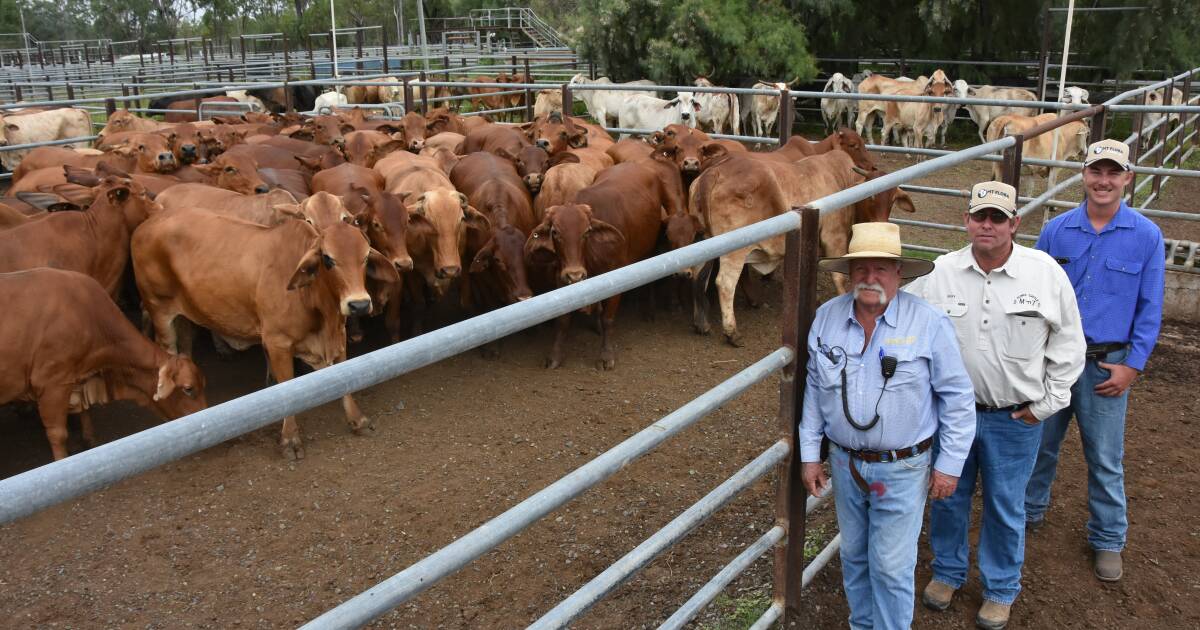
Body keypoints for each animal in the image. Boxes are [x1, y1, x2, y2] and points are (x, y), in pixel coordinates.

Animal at [0, 267, 207, 458]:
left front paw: (89, 439)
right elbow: (57, 434)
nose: (206, 414)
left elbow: (84, 409)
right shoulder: (52, 384)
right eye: (188, 388)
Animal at [133, 201, 398, 456]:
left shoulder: (338, 336)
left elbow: (345, 377)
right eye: (328, 258)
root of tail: (146, 224)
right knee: (167, 348)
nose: (359, 304)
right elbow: (287, 389)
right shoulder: (277, 342)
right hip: (159, 310)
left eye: (365, 257)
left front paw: (357, 420)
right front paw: (290, 440)